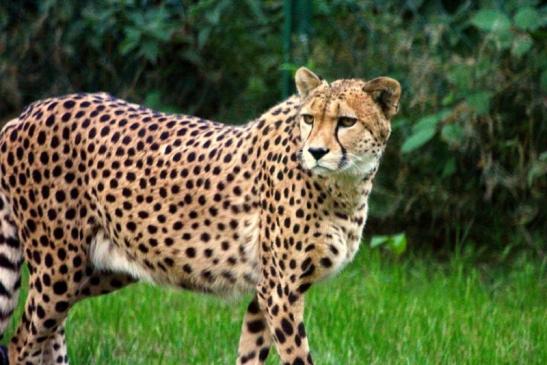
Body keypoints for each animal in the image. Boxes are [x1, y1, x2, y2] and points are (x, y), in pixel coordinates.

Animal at [0, 67, 402, 362]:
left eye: (346, 122)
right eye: (308, 118)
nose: (316, 152)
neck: (344, 186)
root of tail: (28, 112)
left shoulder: (265, 293)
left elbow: (250, 355)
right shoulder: (280, 291)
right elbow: (298, 358)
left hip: (99, 268)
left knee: (48, 334)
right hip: (59, 268)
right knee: (22, 341)